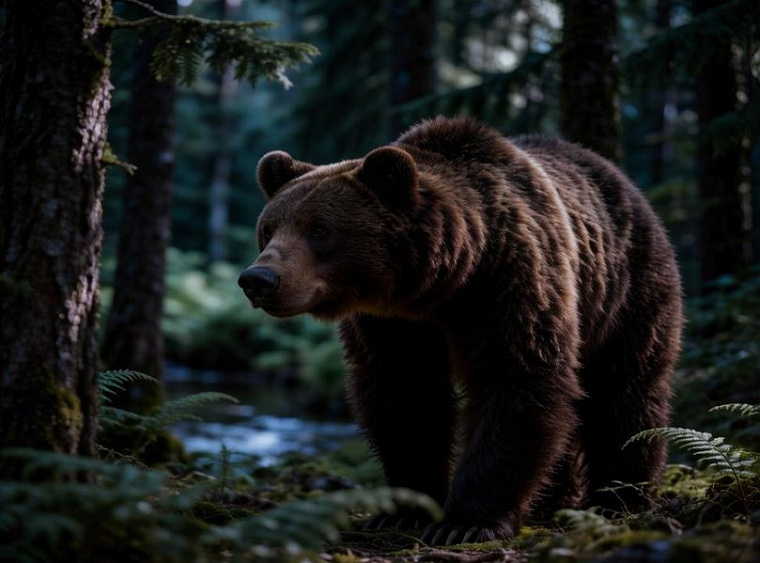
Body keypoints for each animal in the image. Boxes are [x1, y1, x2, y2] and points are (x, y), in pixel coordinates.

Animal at [238, 116, 683, 545]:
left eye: (318, 228)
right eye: (269, 228)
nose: (258, 279)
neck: (442, 285)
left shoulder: (510, 283)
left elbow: (518, 382)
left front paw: (466, 522)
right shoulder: (392, 325)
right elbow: (405, 399)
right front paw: (402, 511)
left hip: (625, 290)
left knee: (625, 392)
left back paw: (620, 497)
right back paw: (553, 499)